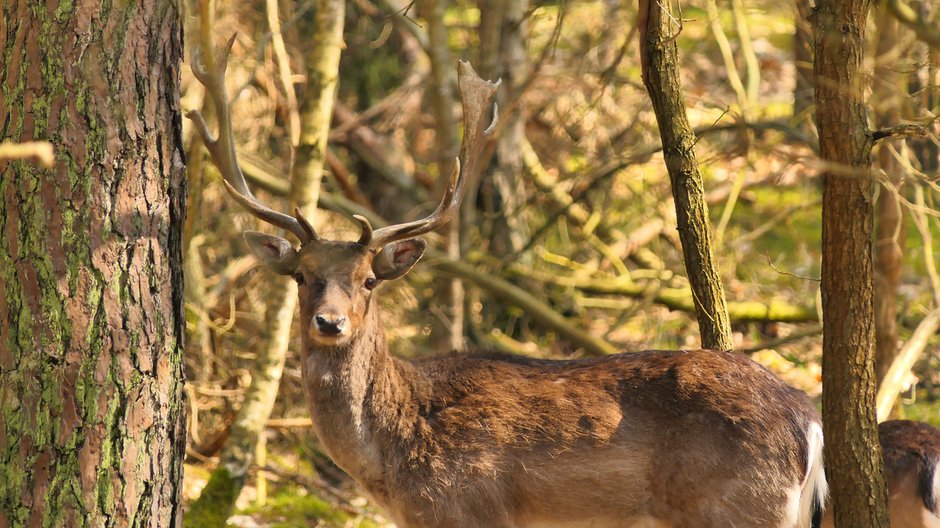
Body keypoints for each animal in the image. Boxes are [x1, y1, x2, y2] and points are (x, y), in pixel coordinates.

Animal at [187, 36, 828, 528]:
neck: (392, 460)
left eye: (369, 280)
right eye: (301, 275)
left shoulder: (467, 509)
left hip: (736, 507)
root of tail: (809, 421)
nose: (330, 322)